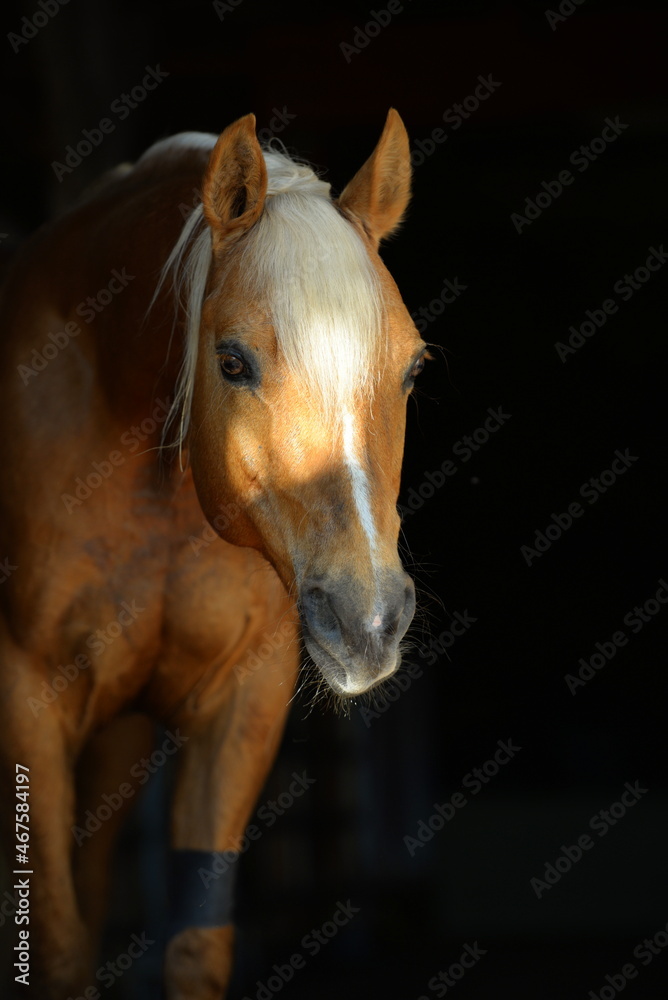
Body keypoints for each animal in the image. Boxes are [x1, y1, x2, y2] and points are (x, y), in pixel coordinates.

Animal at [0, 108, 426, 999]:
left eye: (410, 370)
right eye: (231, 361)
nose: (368, 621)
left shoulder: (241, 699)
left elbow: (196, 948)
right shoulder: (24, 700)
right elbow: (53, 948)